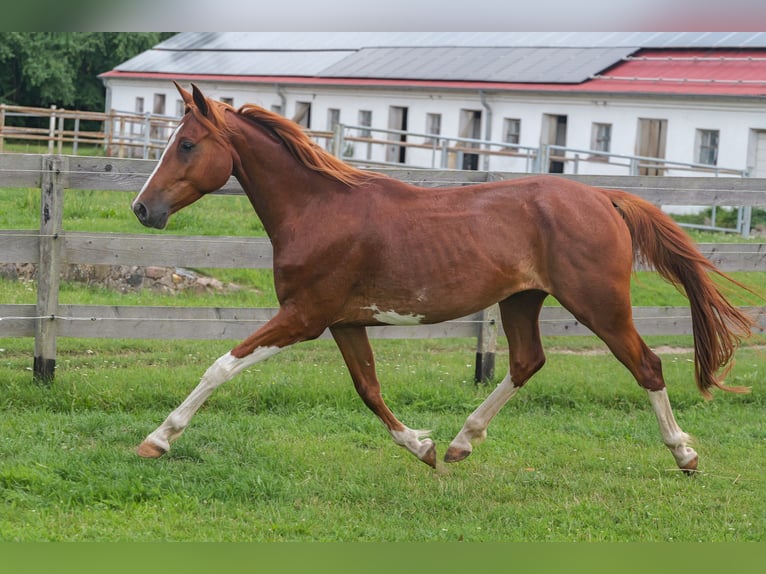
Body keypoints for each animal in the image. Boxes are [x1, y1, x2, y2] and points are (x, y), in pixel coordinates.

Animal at [131, 82, 754, 473]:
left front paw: (156, 440)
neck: (318, 209)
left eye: (186, 144)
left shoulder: (303, 317)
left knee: (647, 366)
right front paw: (423, 447)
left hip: (599, 304)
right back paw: (460, 445)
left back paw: (685, 455)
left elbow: (220, 366)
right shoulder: (344, 323)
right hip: (522, 300)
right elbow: (369, 390)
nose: (142, 209)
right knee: (527, 362)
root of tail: (603, 196)